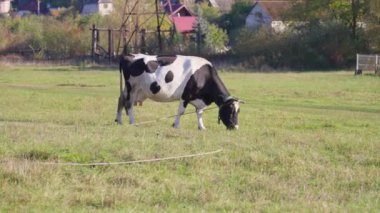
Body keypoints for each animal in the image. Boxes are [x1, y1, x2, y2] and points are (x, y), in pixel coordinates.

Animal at [114, 53, 242, 130]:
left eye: (238, 111)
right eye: (230, 111)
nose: (235, 128)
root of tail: (130, 55)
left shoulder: (198, 99)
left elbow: (199, 112)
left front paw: (201, 127)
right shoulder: (186, 95)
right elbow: (181, 111)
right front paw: (176, 125)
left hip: (133, 90)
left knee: (121, 99)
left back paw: (119, 121)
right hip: (132, 88)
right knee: (128, 104)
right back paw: (132, 122)